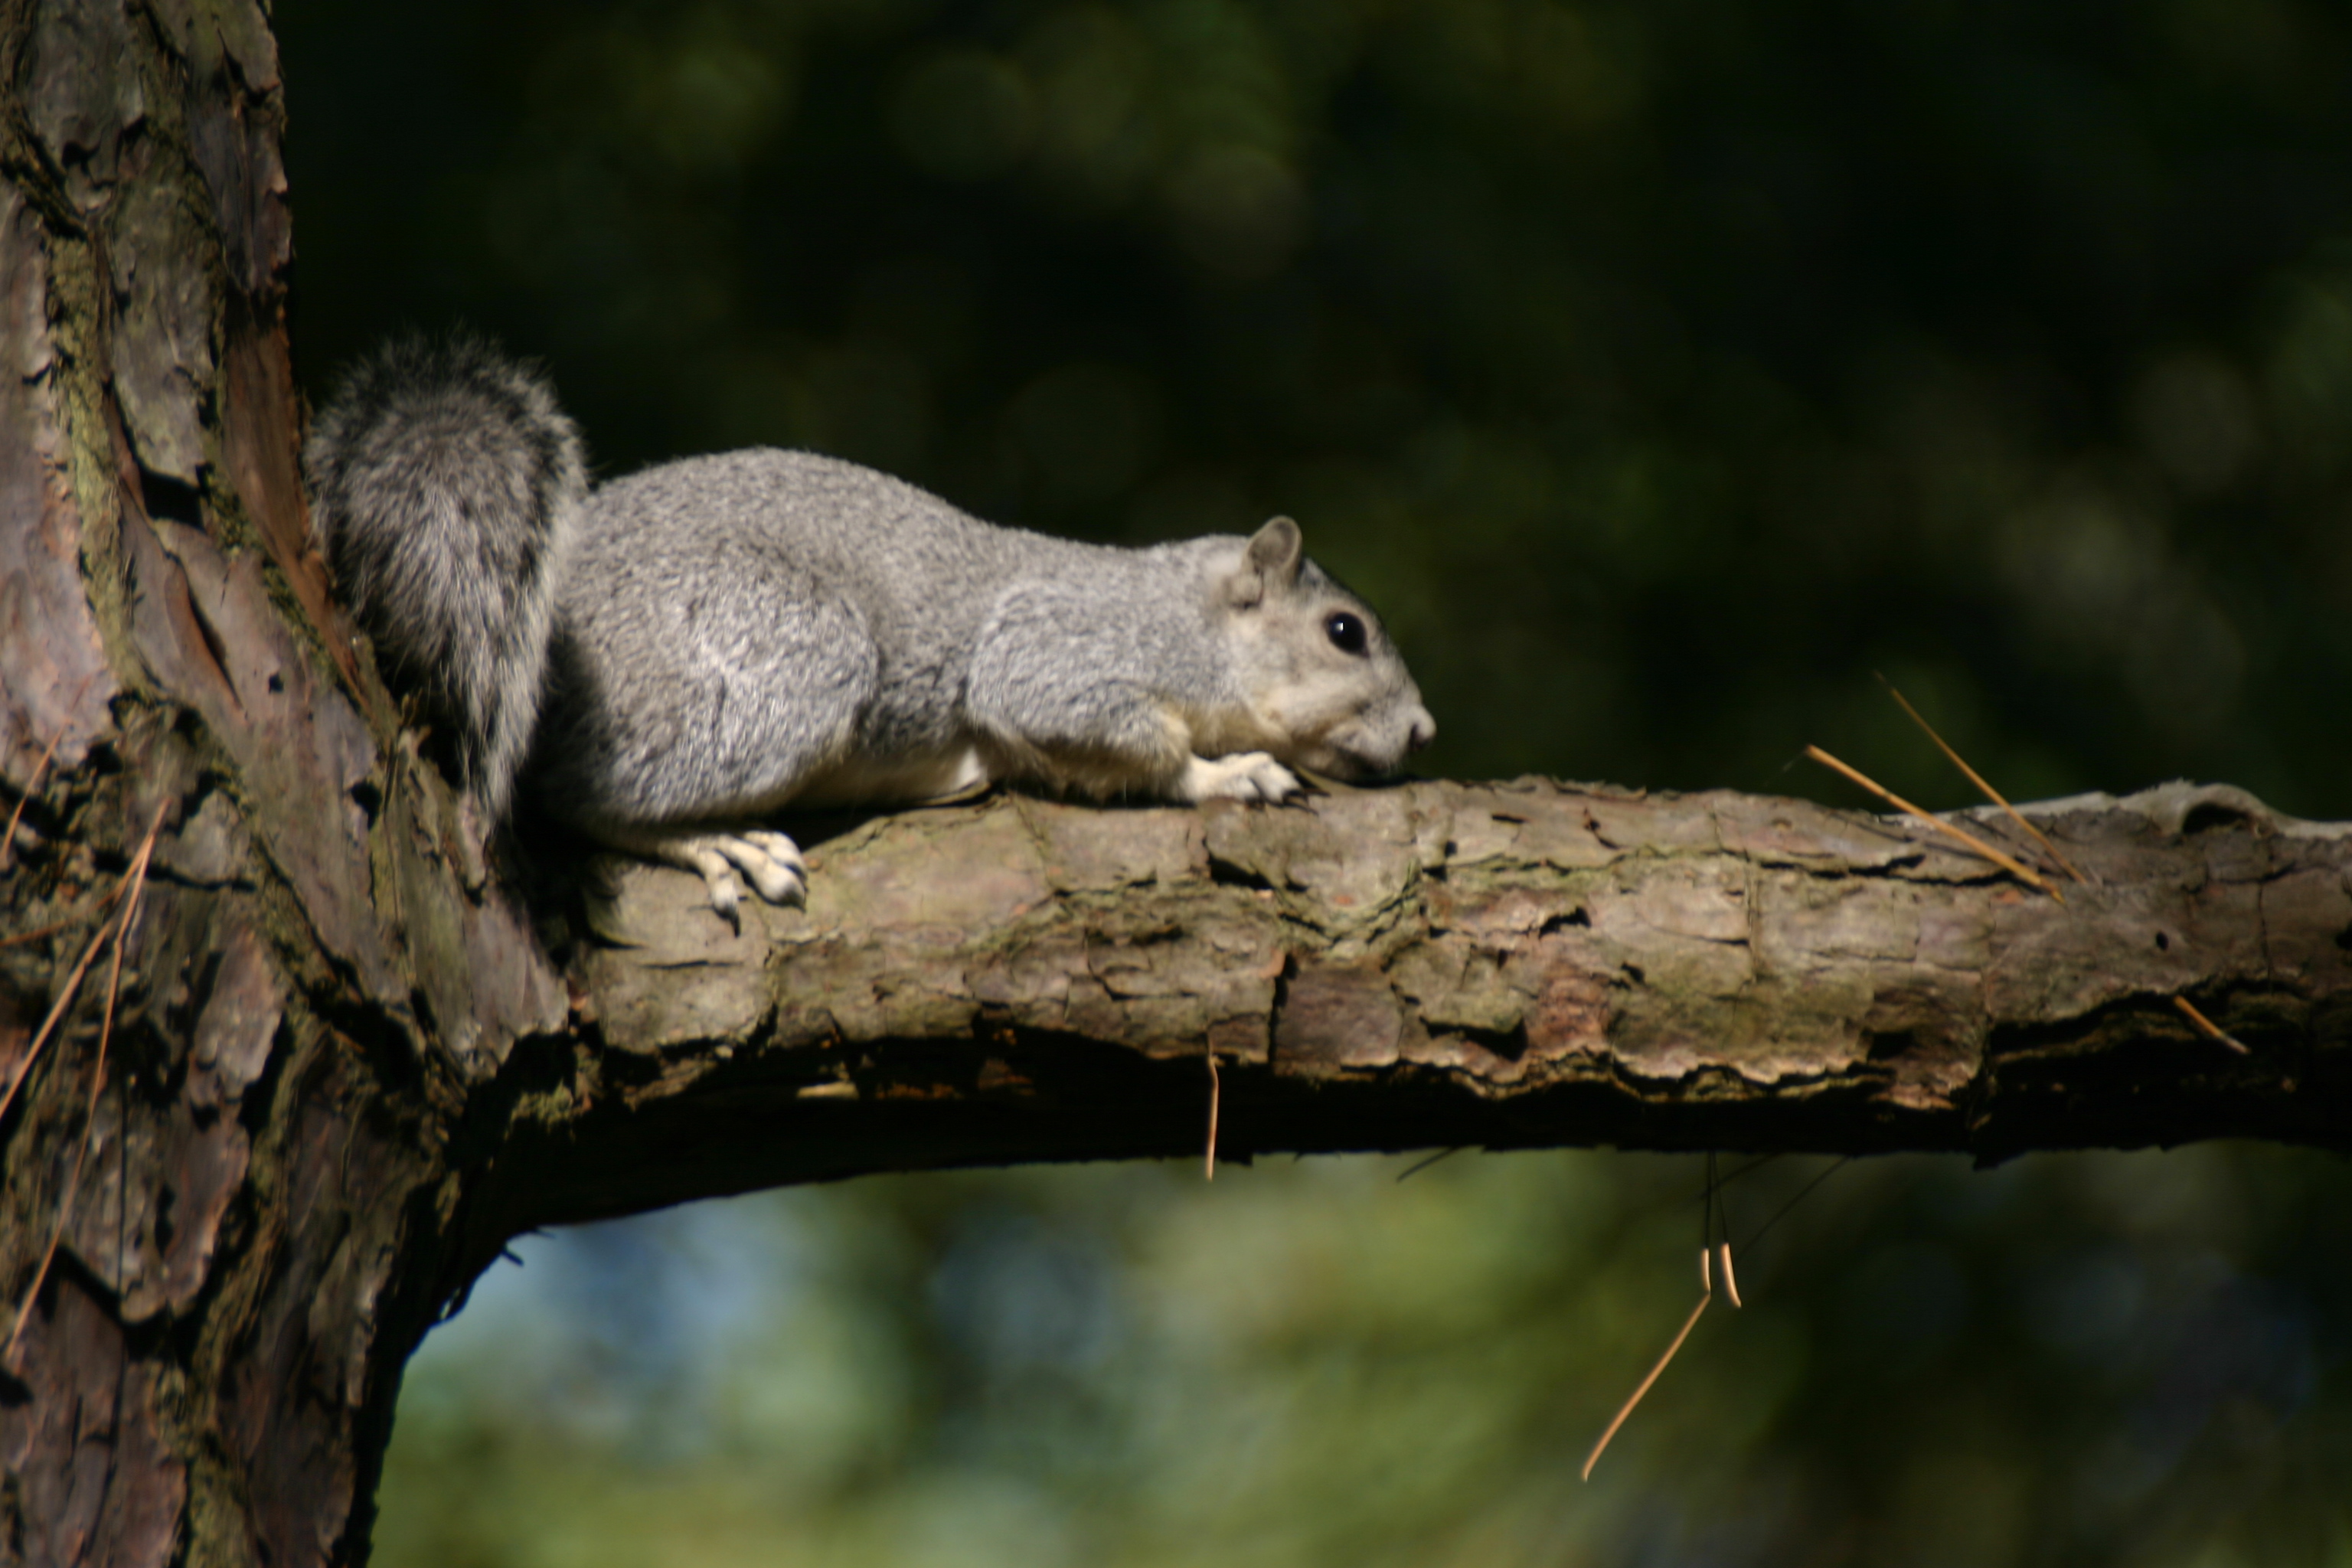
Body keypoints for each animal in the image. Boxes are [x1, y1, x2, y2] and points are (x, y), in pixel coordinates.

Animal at [305, 337, 1436, 917]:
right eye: (1344, 632)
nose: (1426, 731)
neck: (1184, 616)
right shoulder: (1060, 652)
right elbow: (1121, 740)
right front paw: (1228, 771)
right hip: (786, 659)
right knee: (574, 797)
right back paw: (718, 844)